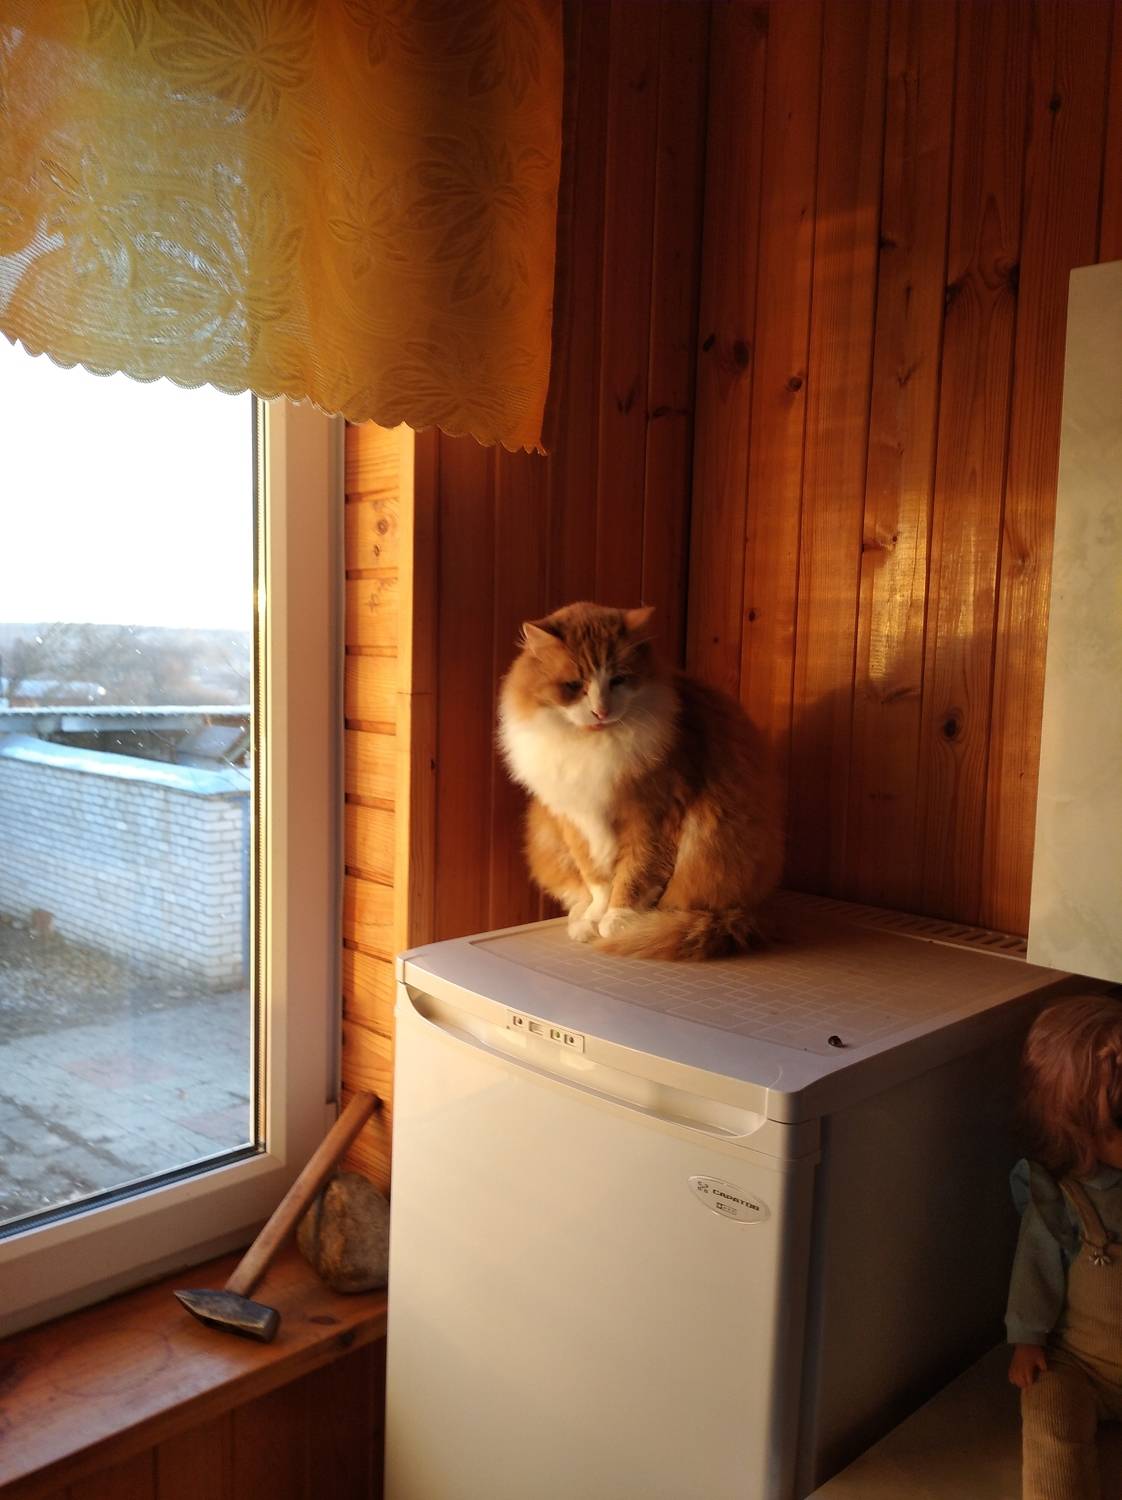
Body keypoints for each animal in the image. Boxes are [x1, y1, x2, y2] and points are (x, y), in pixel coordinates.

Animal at [497, 601, 783, 960]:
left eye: (618, 680)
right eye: (575, 685)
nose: (601, 712)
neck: (593, 746)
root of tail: (760, 908)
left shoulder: (652, 817)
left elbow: (634, 875)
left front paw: (619, 920)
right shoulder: (576, 820)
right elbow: (597, 880)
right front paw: (596, 917)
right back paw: (580, 920)